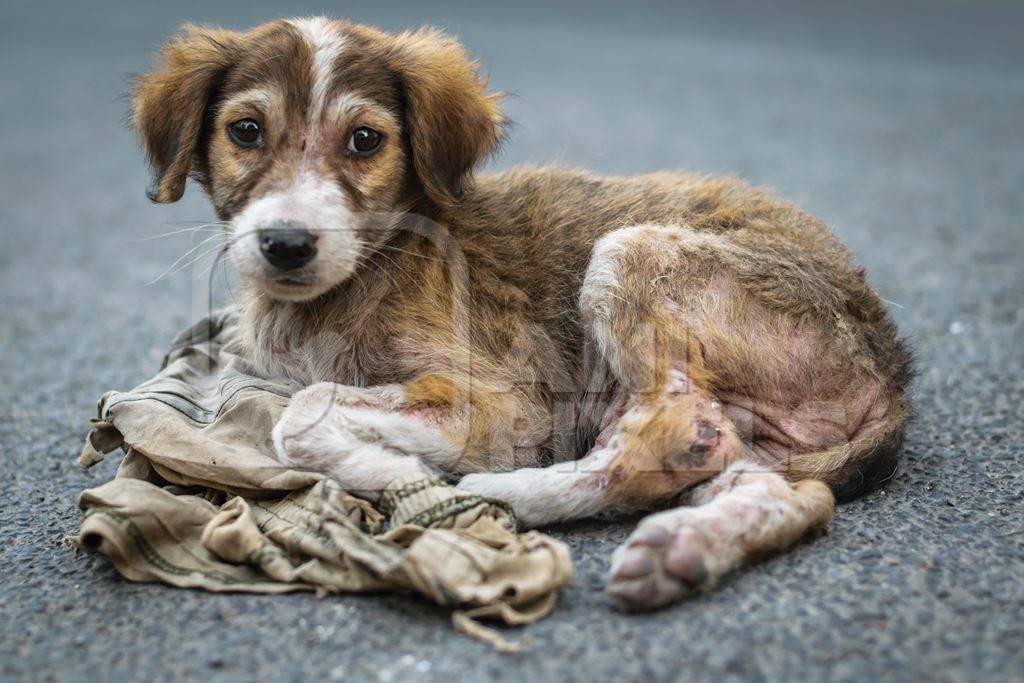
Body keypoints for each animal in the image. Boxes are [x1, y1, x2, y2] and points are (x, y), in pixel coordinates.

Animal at [130, 18, 913, 610]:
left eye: (364, 140)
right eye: (246, 130)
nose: (287, 244)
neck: (361, 275)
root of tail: (890, 373)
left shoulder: (504, 402)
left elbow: (301, 416)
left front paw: (394, 472)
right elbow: (302, 406)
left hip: (629, 251)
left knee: (675, 431)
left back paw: (502, 495)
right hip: (761, 447)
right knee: (787, 490)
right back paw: (684, 547)